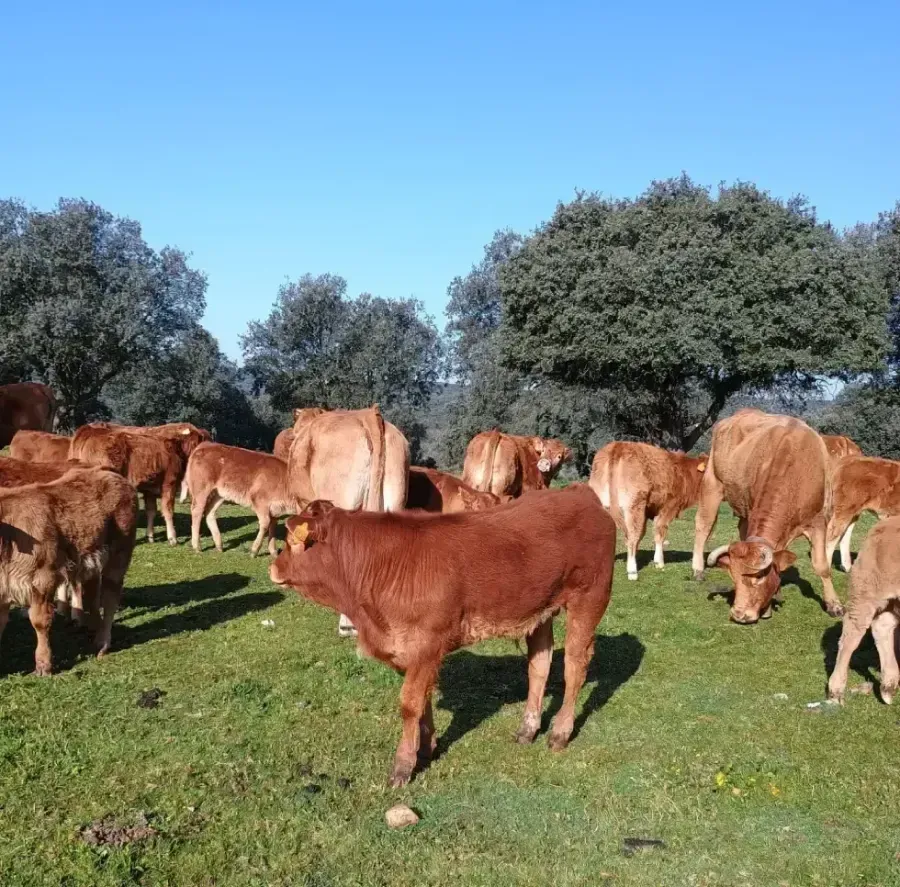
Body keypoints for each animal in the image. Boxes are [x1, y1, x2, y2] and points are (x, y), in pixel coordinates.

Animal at [0, 467, 137, 674]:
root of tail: (109, 474)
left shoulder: (43, 578)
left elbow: (40, 620)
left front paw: (44, 664)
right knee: (91, 595)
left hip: (119, 556)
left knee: (110, 598)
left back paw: (102, 642)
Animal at [269, 484, 616, 786]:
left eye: (291, 540)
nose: (273, 568)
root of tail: (579, 492)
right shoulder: (411, 651)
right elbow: (423, 700)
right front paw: (426, 747)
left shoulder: (426, 644)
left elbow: (410, 703)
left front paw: (403, 765)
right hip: (541, 609)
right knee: (540, 665)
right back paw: (528, 729)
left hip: (589, 598)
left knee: (575, 665)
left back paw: (560, 732)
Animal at [589, 442, 707, 580]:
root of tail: (619, 445)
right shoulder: (668, 507)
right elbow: (659, 533)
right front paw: (659, 562)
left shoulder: (647, 512)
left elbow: (643, 533)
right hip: (634, 506)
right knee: (632, 536)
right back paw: (632, 572)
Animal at [692, 409, 841, 623]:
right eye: (734, 578)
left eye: (759, 576)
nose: (739, 614)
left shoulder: (819, 522)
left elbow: (821, 565)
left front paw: (834, 605)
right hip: (712, 484)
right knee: (703, 525)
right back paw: (697, 569)